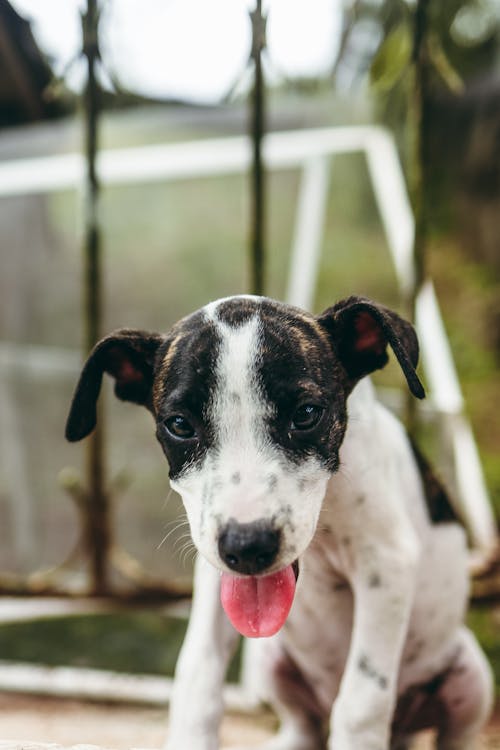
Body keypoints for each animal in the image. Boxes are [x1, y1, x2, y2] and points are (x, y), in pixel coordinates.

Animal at [65, 296, 492, 750]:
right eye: (179, 425)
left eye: (306, 415)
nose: (247, 546)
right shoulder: (215, 571)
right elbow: (198, 679)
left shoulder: (386, 564)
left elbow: (361, 701)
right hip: (268, 661)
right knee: (302, 726)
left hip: (471, 676)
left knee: (451, 735)